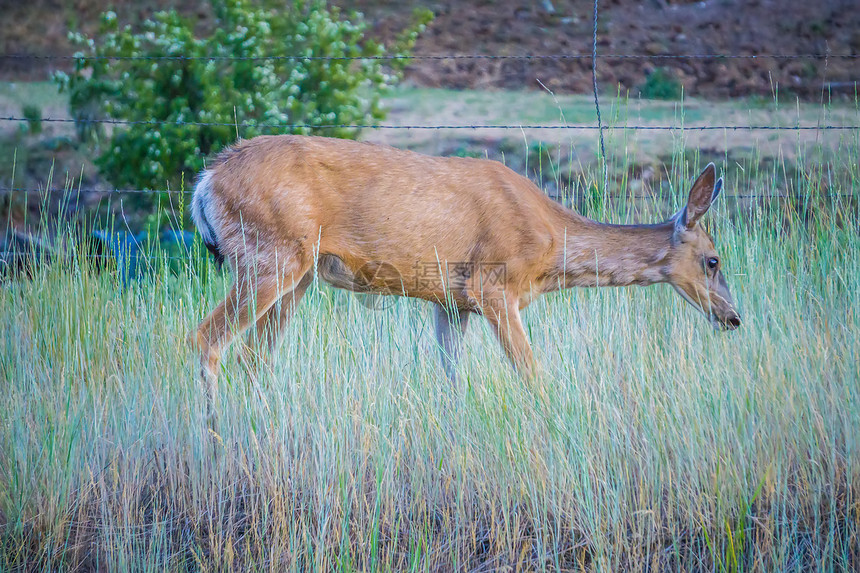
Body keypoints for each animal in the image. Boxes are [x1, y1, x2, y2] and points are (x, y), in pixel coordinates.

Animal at [193, 135, 740, 402]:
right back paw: (217, 438)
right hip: (270, 255)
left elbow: (453, 380)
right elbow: (531, 373)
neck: (552, 246)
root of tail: (207, 180)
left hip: (297, 274)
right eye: (713, 260)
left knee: (252, 358)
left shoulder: (451, 302)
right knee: (207, 339)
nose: (734, 317)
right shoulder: (493, 285)